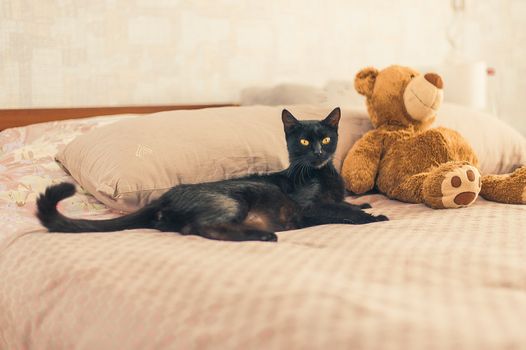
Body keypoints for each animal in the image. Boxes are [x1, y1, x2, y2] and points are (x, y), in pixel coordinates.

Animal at [37, 108, 390, 241]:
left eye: (326, 140)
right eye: (304, 141)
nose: (318, 152)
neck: (321, 174)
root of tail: (163, 197)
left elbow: (346, 204)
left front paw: (364, 204)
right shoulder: (309, 207)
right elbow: (340, 210)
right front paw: (373, 216)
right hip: (232, 201)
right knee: (203, 227)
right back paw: (265, 235)